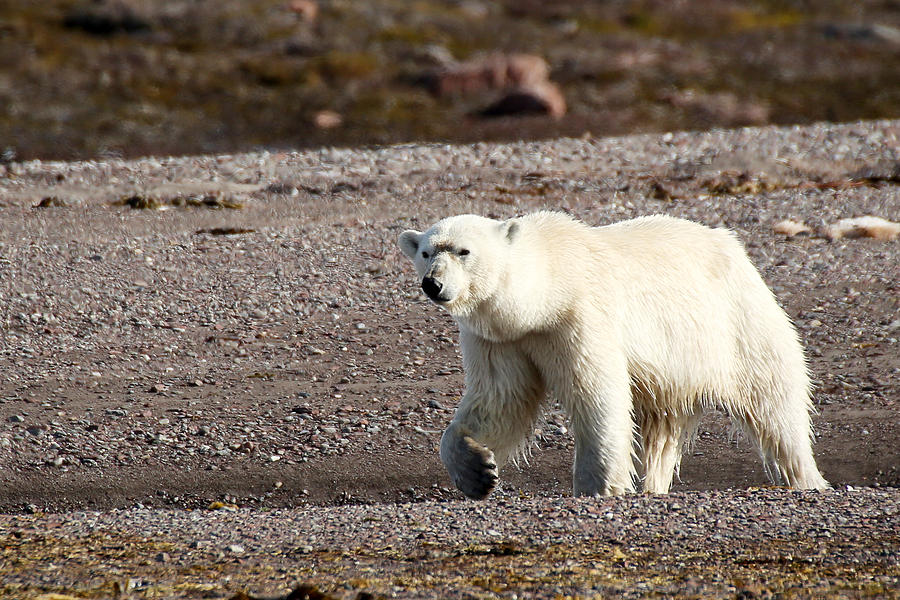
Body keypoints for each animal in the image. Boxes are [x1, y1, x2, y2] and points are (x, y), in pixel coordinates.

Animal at [400, 211, 828, 496]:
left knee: (774, 402)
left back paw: (806, 477)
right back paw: (653, 487)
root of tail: (734, 247)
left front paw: (600, 486)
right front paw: (477, 470)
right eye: (426, 252)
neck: (546, 292)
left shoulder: (579, 317)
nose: (433, 284)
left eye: (464, 251)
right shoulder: (502, 339)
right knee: (661, 429)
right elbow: (500, 400)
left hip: (734, 324)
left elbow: (597, 396)